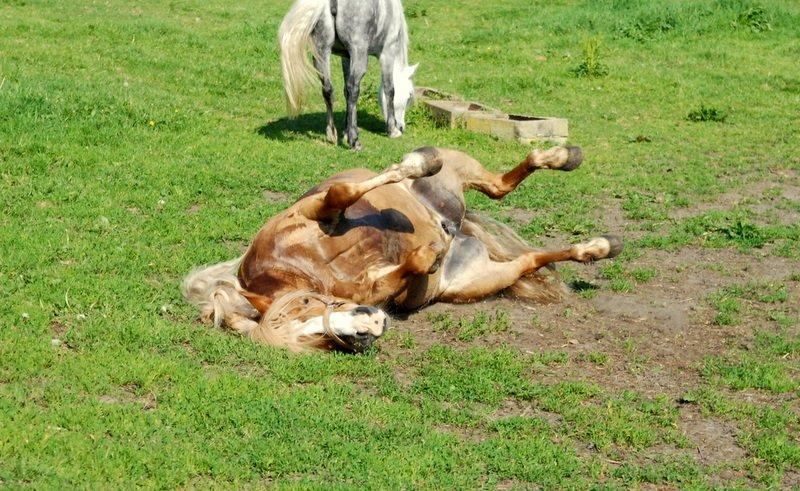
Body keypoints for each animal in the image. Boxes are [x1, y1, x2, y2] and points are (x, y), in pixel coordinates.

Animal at [184, 146, 620, 354]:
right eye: (315, 340)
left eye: (306, 307)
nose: (370, 328)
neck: (305, 267)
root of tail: (465, 227)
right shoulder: (381, 287)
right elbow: (414, 264)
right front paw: (430, 252)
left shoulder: (318, 209)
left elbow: (345, 190)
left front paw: (415, 164)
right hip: (485, 278)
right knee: (526, 251)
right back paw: (598, 247)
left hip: (457, 168)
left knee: (499, 183)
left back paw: (562, 156)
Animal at [280, 0, 418, 150]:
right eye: (409, 96)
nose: (401, 126)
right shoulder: (387, 52)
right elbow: (389, 90)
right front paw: (392, 130)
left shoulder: (346, 57)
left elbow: (345, 91)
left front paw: (347, 130)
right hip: (359, 54)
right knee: (353, 90)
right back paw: (354, 141)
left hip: (322, 51)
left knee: (327, 90)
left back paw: (332, 133)